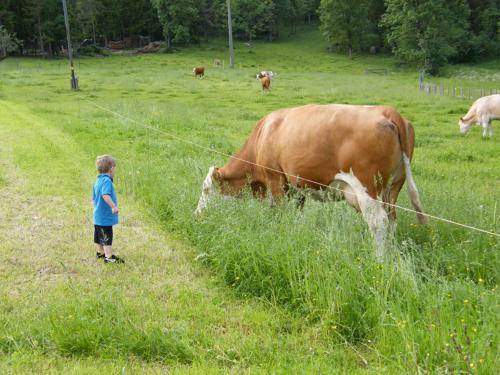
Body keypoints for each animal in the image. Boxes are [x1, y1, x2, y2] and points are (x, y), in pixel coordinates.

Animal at [194, 104, 426, 260]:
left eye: (205, 190)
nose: (196, 215)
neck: (262, 136)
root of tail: (388, 111)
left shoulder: (275, 179)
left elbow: (278, 213)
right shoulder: (297, 188)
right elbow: (297, 215)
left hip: (367, 190)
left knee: (379, 223)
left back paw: (379, 261)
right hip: (392, 189)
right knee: (392, 220)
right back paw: (391, 256)